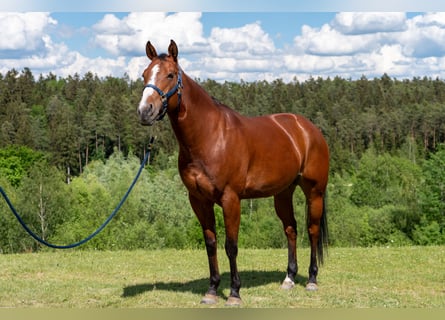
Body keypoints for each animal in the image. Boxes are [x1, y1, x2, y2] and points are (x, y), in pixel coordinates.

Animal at [137, 40, 328, 308]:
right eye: (144, 75)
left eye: (170, 75)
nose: (145, 111)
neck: (210, 136)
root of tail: (308, 128)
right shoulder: (199, 200)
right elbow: (211, 243)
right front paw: (212, 290)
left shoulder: (231, 199)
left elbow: (231, 245)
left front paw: (234, 293)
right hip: (283, 193)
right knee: (291, 229)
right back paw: (289, 278)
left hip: (315, 191)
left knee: (312, 230)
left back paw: (311, 279)